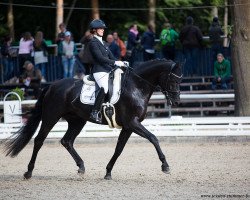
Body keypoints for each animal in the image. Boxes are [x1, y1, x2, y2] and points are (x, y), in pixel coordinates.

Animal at [4, 59, 183, 180]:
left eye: (180, 80)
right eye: (173, 80)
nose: (176, 102)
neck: (136, 86)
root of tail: (52, 86)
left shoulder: (128, 126)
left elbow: (119, 149)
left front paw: (108, 172)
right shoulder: (132, 123)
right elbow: (153, 138)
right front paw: (165, 166)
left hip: (77, 121)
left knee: (66, 141)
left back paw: (81, 167)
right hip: (51, 117)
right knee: (39, 140)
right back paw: (28, 172)